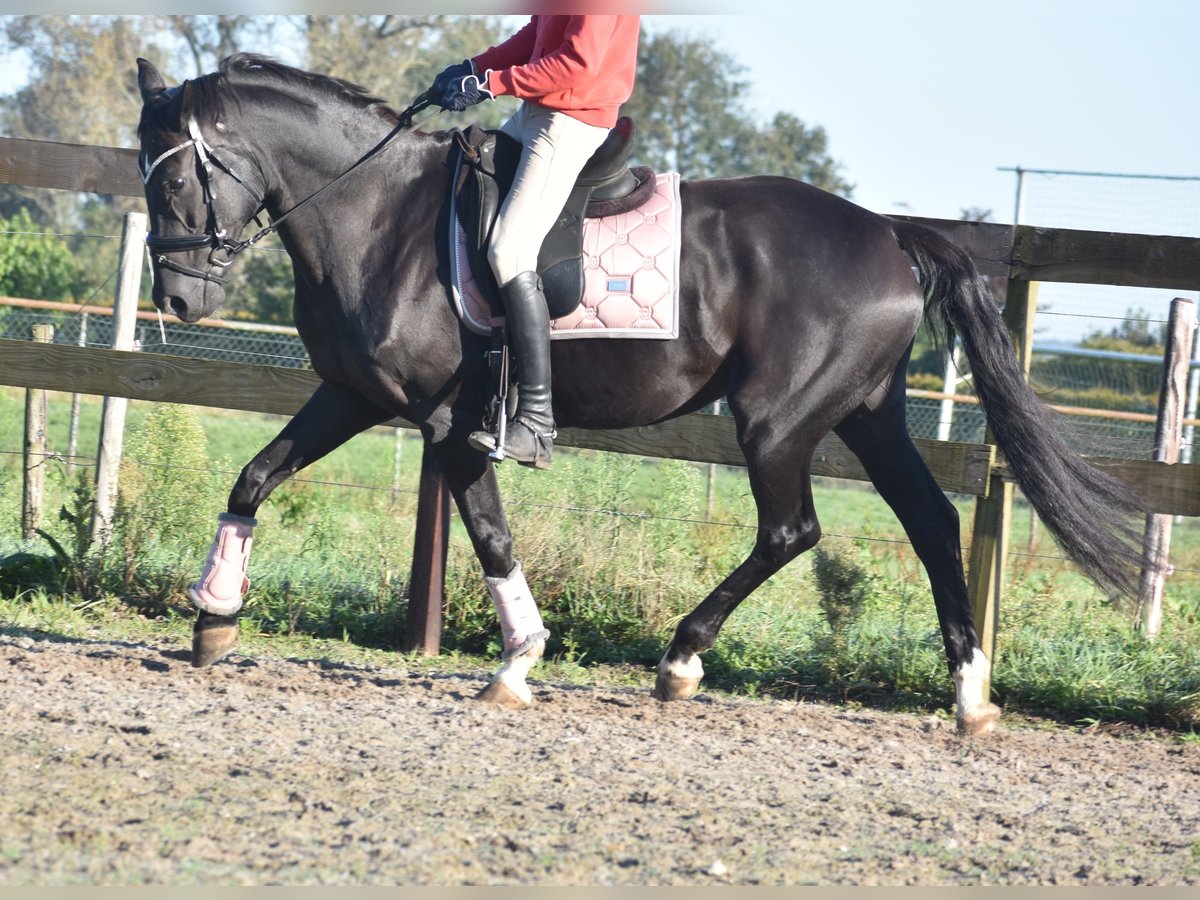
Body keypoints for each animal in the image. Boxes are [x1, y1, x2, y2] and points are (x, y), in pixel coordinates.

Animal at [136, 54, 1137, 734]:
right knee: (930, 523)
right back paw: (970, 697)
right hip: (866, 416)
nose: (179, 300)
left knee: (792, 531)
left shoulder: (449, 424)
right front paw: (215, 615)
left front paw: (517, 665)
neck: (380, 216)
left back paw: (682, 660)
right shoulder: (351, 394)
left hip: (779, 422)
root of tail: (889, 234)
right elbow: (254, 477)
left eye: (177, 174)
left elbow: (492, 538)